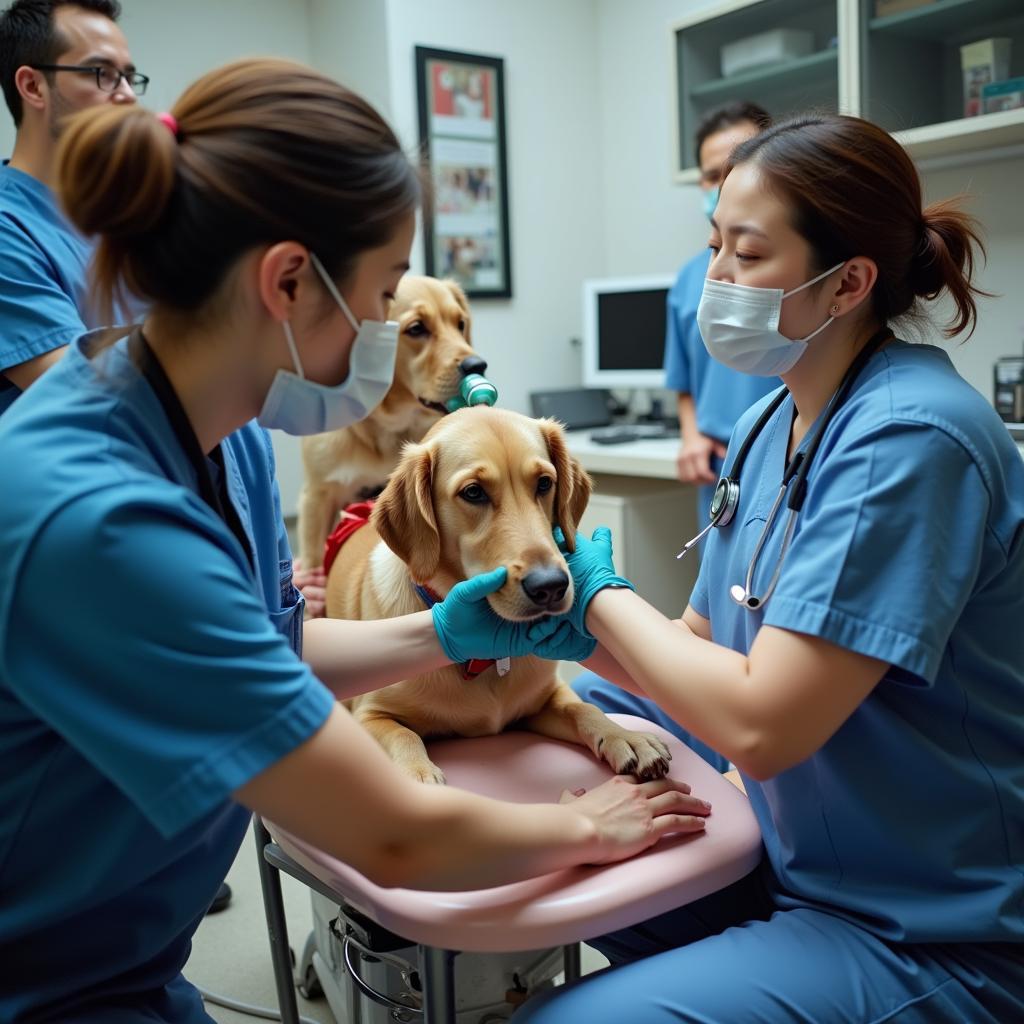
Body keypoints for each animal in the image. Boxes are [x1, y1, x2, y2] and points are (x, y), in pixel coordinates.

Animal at [296, 274, 487, 569]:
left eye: (460, 323)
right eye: (417, 328)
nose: (478, 366)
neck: (385, 427)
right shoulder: (317, 496)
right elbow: (313, 560)